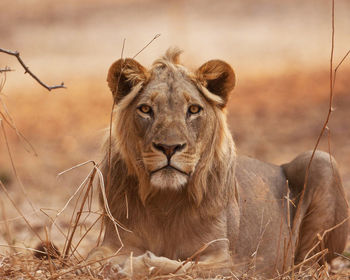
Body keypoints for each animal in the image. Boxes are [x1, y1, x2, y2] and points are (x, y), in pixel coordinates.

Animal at [87, 48, 348, 278]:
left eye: (193, 109)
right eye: (145, 109)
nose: (169, 148)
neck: (166, 202)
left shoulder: (226, 261)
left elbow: (182, 267)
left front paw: (134, 266)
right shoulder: (115, 243)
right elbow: (93, 257)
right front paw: (112, 266)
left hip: (322, 162)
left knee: (311, 262)